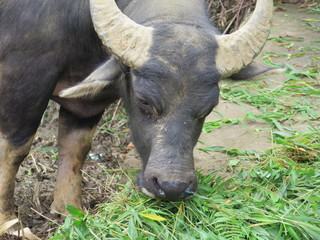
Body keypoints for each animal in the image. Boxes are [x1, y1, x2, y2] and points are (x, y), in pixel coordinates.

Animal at [0, 0, 274, 226]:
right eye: (144, 100)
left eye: (208, 108)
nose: (172, 186)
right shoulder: (23, 83)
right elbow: (13, 152)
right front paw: (9, 223)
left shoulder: (85, 105)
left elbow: (75, 149)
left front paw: (69, 212)